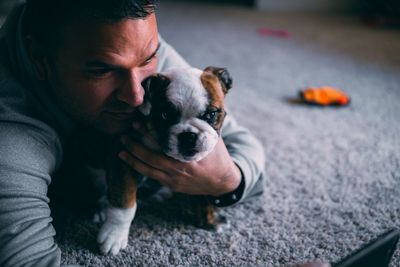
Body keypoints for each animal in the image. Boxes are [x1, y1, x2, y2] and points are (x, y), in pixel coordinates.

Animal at [97, 66, 233, 255]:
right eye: (165, 115)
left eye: (211, 114)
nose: (188, 136)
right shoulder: (122, 157)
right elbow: (124, 203)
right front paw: (114, 234)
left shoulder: (202, 175)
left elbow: (201, 195)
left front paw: (210, 220)